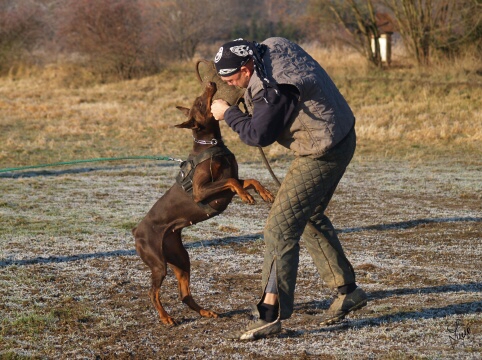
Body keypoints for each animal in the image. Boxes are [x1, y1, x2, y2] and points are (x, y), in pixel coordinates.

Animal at [133, 81, 274, 326]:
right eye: (199, 102)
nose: (210, 83)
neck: (211, 143)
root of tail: (136, 231)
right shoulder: (200, 191)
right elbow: (231, 182)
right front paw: (246, 196)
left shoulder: (230, 179)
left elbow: (247, 180)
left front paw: (264, 193)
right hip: (158, 262)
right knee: (153, 292)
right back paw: (165, 317)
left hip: (180, 257)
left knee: (184, 293)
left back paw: (205, 312)